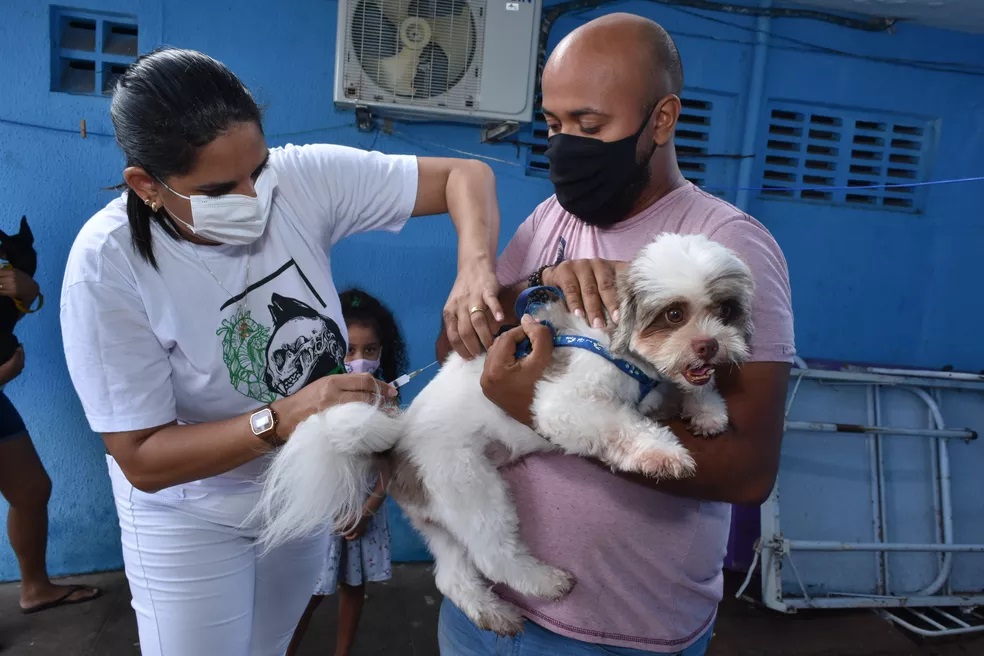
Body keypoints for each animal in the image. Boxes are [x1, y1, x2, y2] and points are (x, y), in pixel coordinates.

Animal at [252, 232, 752, 636]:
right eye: (674, 313)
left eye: (725, 311)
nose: (709, 346)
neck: (617, 345)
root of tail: (394, 447)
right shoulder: (563, 405)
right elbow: (621, 424)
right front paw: (661, 454)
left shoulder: (657, 389)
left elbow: (684, 390)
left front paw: (707, 411)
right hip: (472, 489)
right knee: (494, 554)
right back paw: (546, 583)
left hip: (438, 519)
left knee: (451, 575)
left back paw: (493, 613)